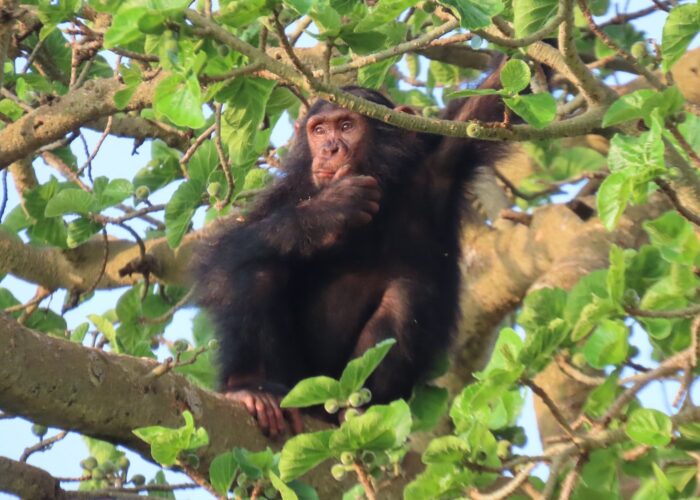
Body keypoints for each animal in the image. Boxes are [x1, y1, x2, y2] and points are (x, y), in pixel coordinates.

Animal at [194, 68, 506, 436]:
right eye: (319, 130)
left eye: (346, 126)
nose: (330, 149)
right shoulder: (289, 192)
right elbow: (223, 256)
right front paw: (329, 209)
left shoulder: (445, 153)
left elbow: (495, 95)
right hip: (298, 383)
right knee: (258, 267)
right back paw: (251, 388)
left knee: (408, 294)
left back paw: (358, 409)